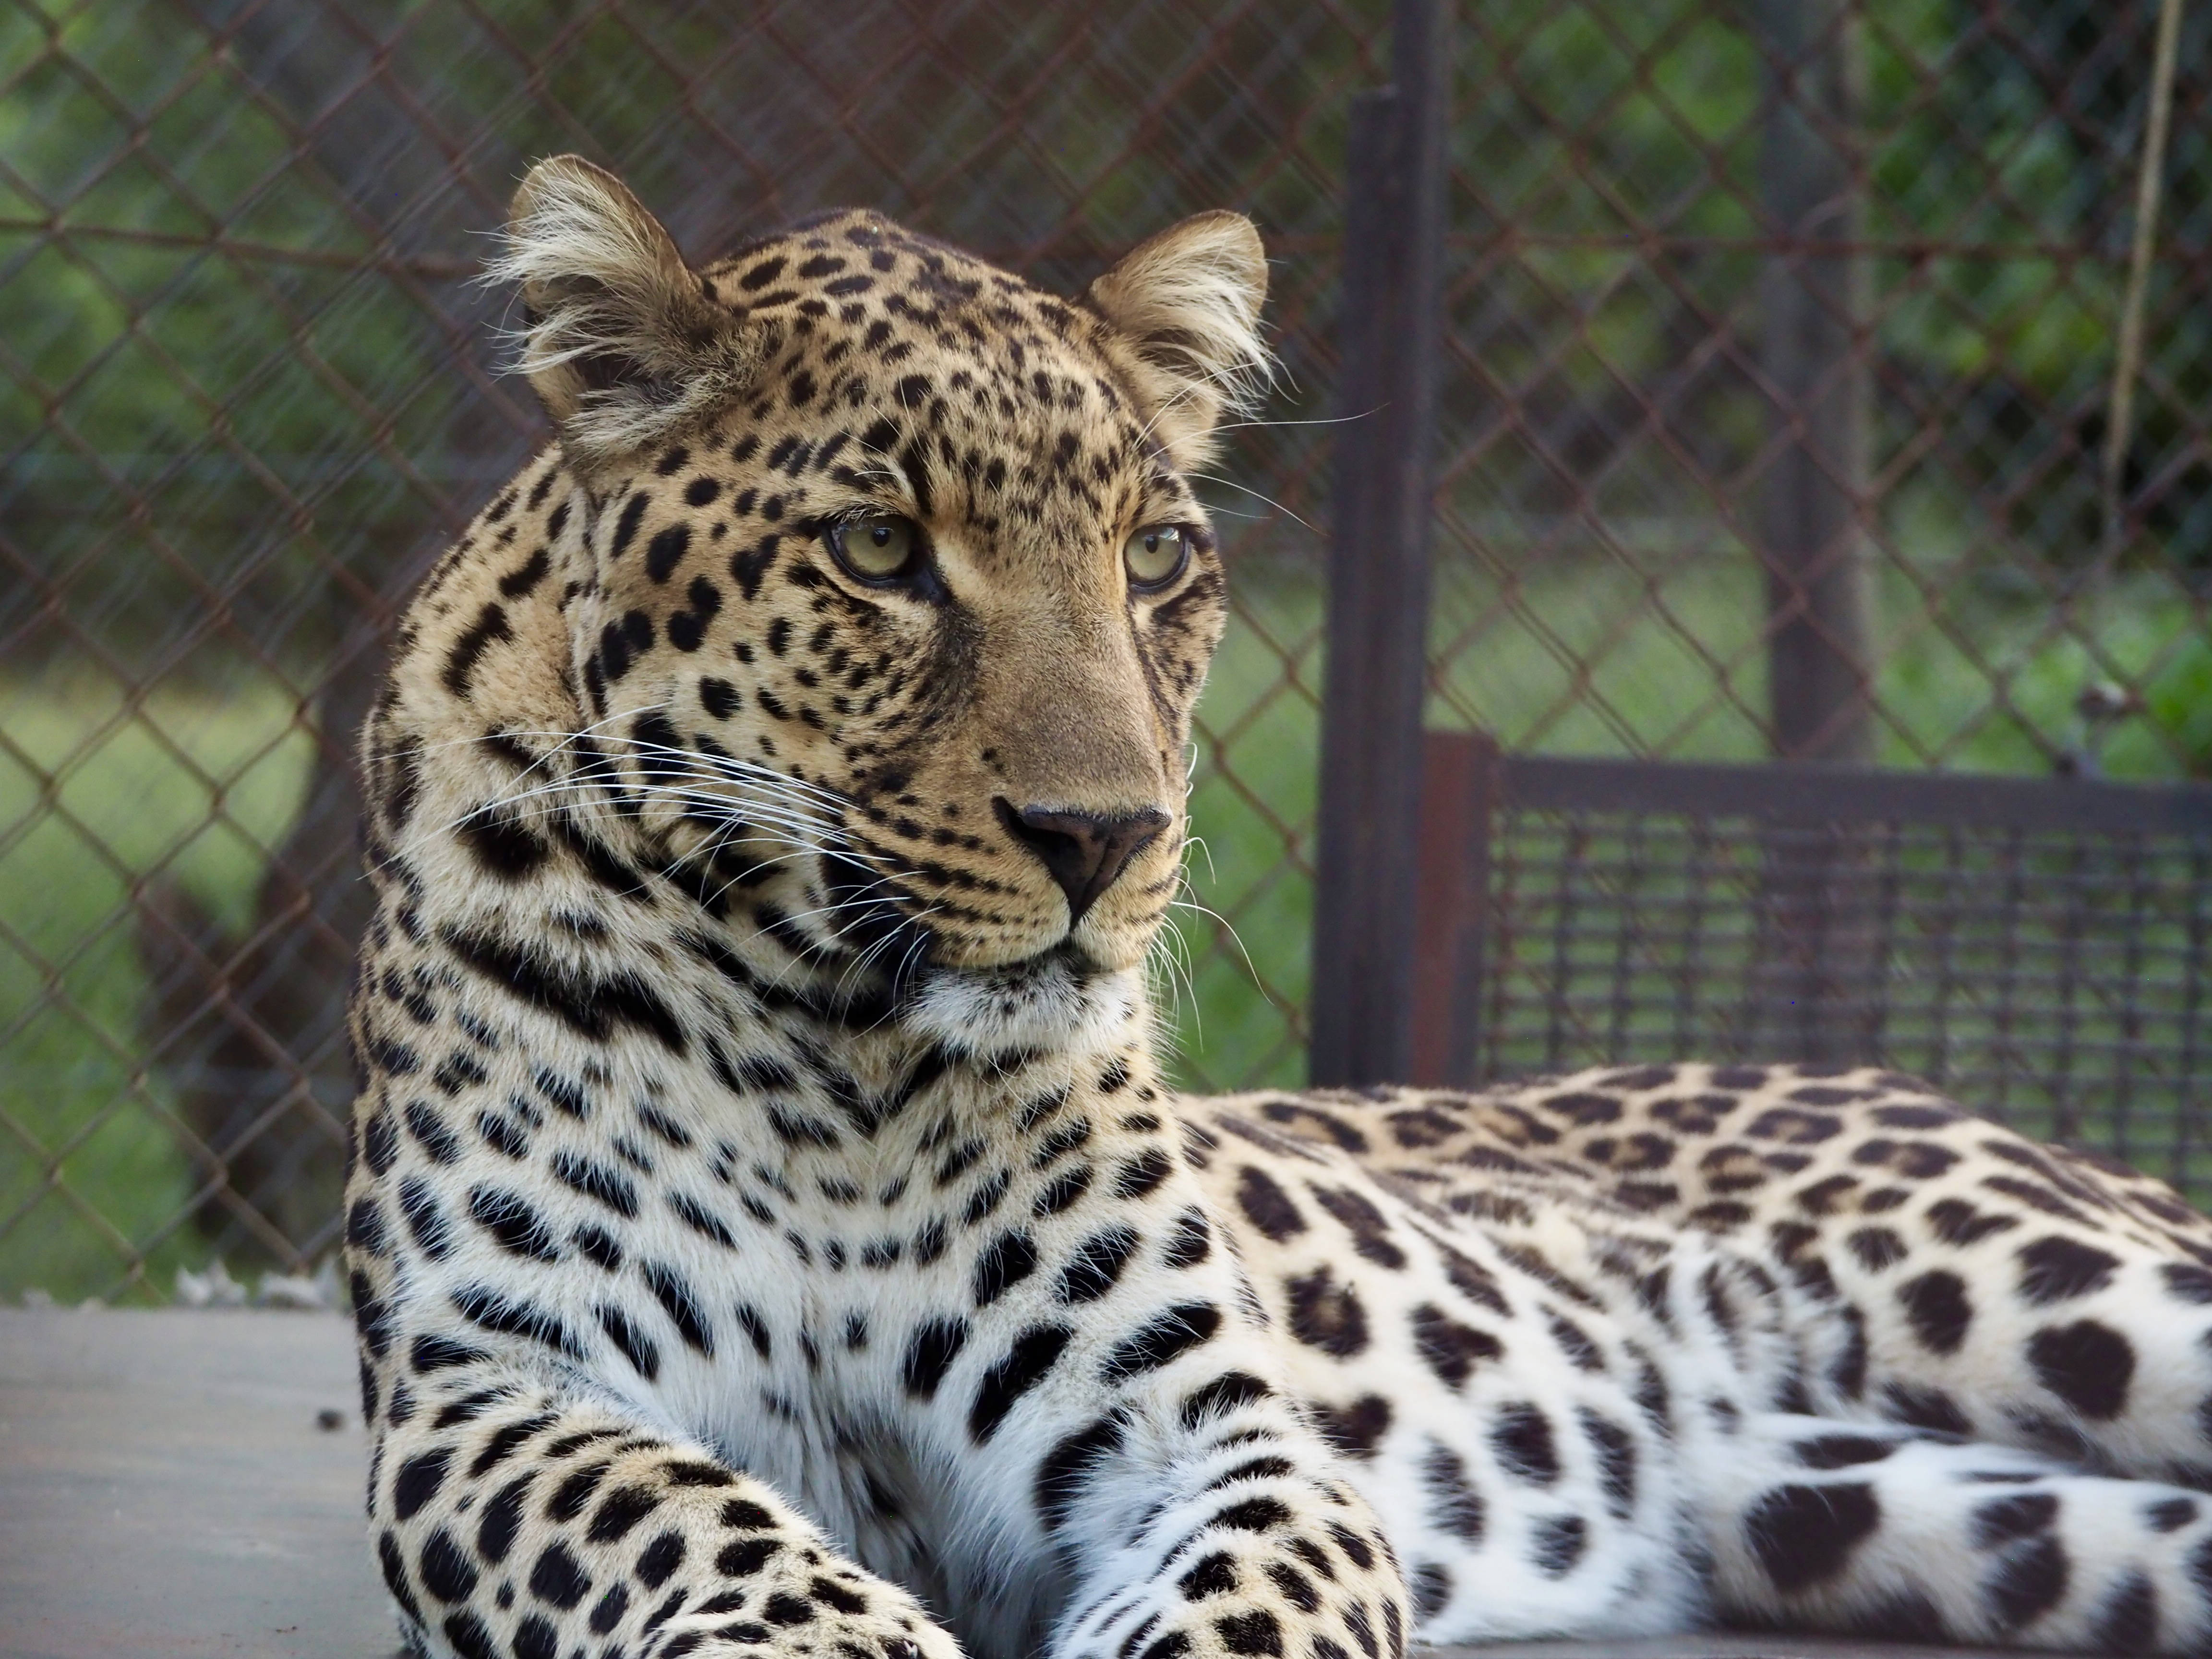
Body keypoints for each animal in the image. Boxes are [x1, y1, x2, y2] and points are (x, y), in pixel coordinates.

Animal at [345, 153, 2212, 1659]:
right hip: (1909, 1499)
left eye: (1154, 557)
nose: (1103, 836)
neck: (837, 1064)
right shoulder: (493, 1386)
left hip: (2061, 1285)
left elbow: (1247, 1590)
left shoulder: (1208, 1430)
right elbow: (703, 1536)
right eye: (876, 551)